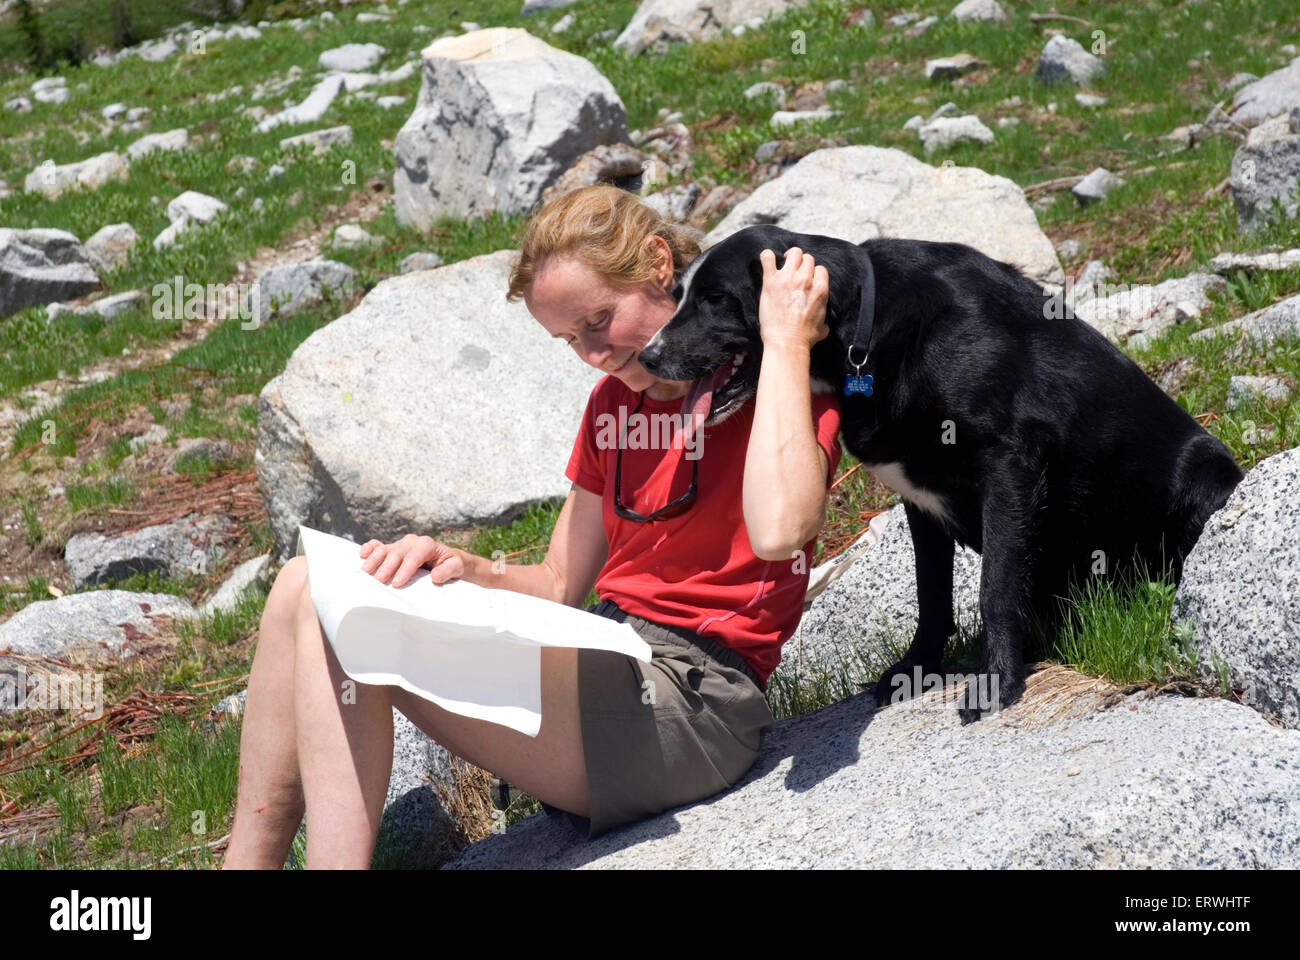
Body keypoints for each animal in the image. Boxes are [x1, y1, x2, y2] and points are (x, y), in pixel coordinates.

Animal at [634, 223, 1242, 718]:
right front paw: (917, 669)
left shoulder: (1010, 465)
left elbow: (995, 587)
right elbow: (932, 597)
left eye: (715, 299)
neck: (865, 333)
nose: (646, 356)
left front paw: (997, 681)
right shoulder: (919, 500)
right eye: (679, 296)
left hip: (1205, 477)